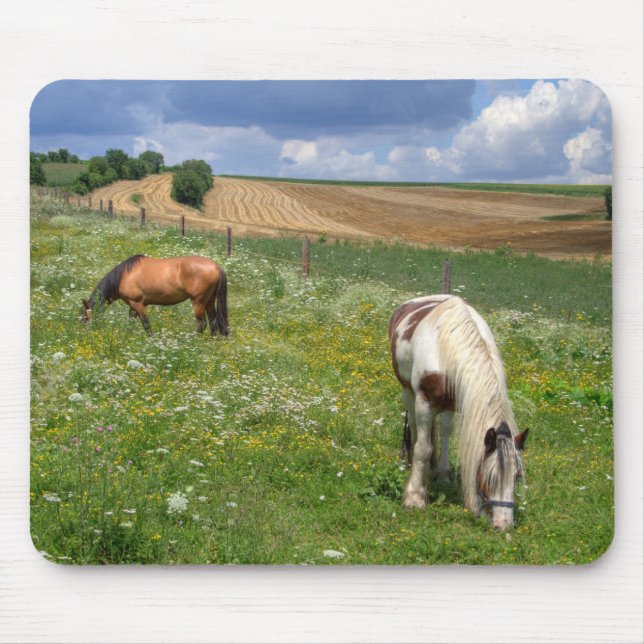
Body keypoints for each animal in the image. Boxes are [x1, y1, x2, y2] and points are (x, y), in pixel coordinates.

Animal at [81, 255, 228, 336]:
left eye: (86, 317)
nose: (86, 333)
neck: (124, 276)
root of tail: (216, 267)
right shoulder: (132, 306)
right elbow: (131, 323)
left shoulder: (138, 304)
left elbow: (146, 324)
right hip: (209, 301)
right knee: (213, 322)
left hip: (198, 302)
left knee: (202, 324)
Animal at [389, 294, 528, 530]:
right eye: (490, 478)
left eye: (516, 476)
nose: (503, 524)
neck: (449, 347)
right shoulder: (424, 401)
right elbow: (423, 448)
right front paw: (415, 497)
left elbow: (445, 437)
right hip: (408, 393)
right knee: (415, 427)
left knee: (444, 432)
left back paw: (442, 473)